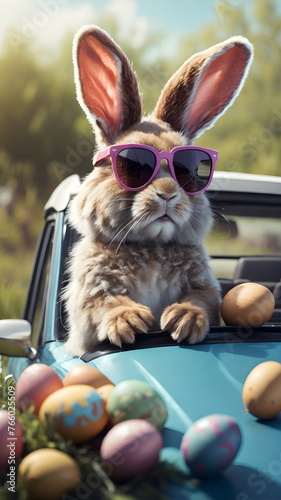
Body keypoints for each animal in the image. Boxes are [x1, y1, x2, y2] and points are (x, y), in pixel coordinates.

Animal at [64, 26, 254, 356]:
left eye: (188, 171)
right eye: (132, 165)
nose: (167, 194)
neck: (151, 246)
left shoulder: (204, 288)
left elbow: (203, 300)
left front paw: (183, 319)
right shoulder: (92, 293)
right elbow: (103, 305)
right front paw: (128, 321)